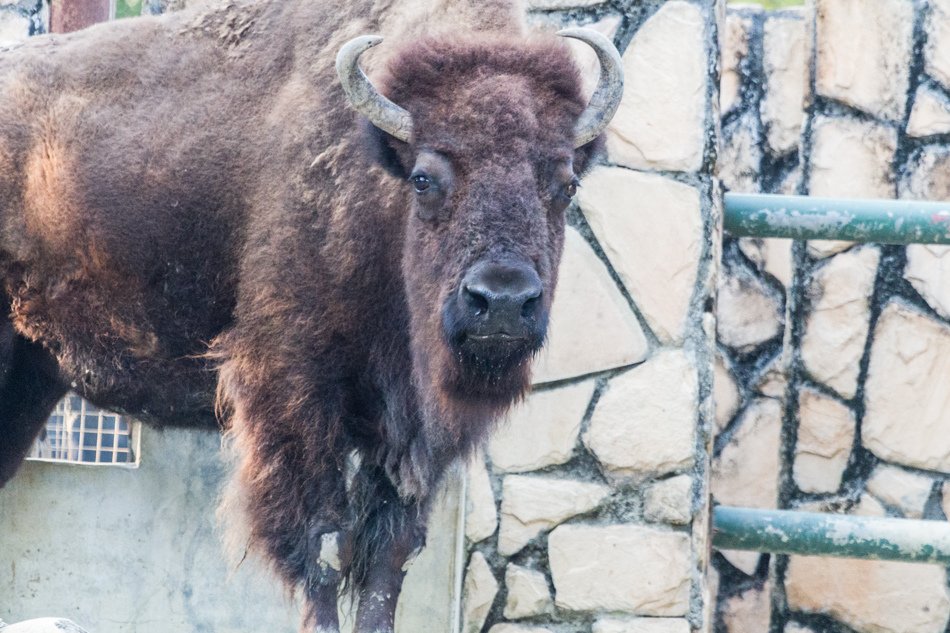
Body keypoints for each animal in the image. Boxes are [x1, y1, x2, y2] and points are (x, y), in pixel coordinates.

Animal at [0, 2, 624, 628]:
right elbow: (324, 542)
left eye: (567, 184)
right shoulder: (295, 394)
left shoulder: (408, 432)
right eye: (424, 178)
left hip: (33, 372)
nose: (502, 301)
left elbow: (389, 554)